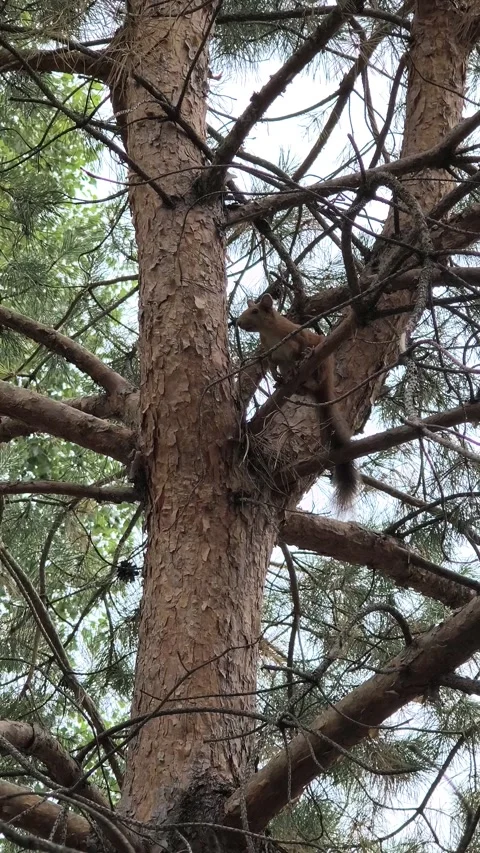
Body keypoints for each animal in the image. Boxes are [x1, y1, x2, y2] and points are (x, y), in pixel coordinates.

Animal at [236, 293, 357, 508]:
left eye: (255, 311)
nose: (239, 322)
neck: (270, 332)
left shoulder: (297, 337)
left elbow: (298, 350)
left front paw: (300, 360)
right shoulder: (271, 354)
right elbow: (271, 365)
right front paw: (275, 377)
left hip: (322, 361)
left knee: (315, 370)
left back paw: (308, 368)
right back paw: (288, 383)